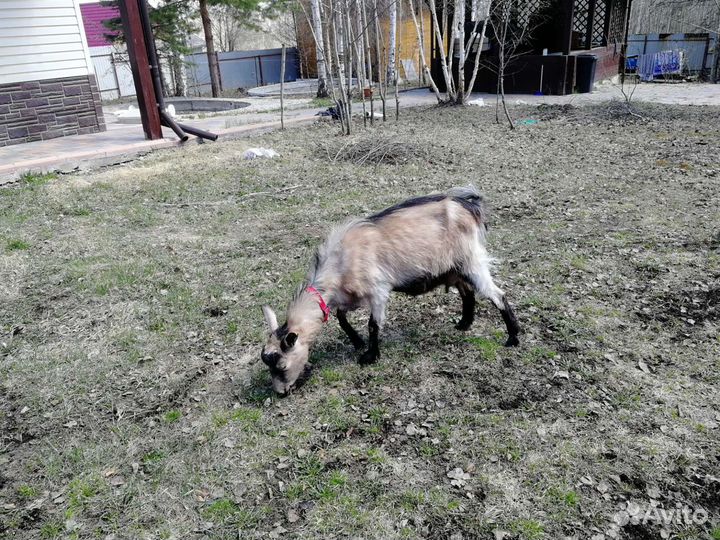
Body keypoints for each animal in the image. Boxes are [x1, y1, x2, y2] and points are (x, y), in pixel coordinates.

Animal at [260, 185, 520, 395]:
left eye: (282, 366)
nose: (281, 393)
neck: (340, 263)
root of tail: (468, 204)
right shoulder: (348, 297)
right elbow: (341, 317)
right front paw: (357, 342)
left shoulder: (378, 290)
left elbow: (373, 325)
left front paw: (370, 355)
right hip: (453, 269)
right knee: (468, 293)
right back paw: (464, 324)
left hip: (471, 262)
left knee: (497, 295)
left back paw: (513, 337)